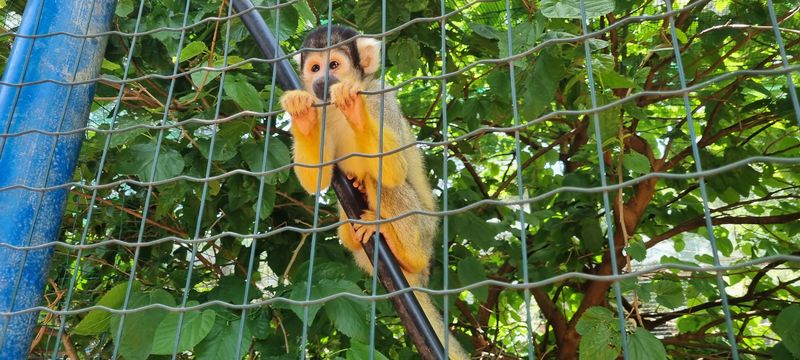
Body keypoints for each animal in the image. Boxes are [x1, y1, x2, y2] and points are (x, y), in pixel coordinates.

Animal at [282, 23, 468, 358]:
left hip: (423, 235)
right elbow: (316, 180)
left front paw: (354, 109)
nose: (321, 81)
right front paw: (301, 115)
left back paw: (401, 248)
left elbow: (393, 169)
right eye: (314, 68)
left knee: (385, 183)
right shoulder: (322, 111)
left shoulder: (381, 100)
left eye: (333, 65)